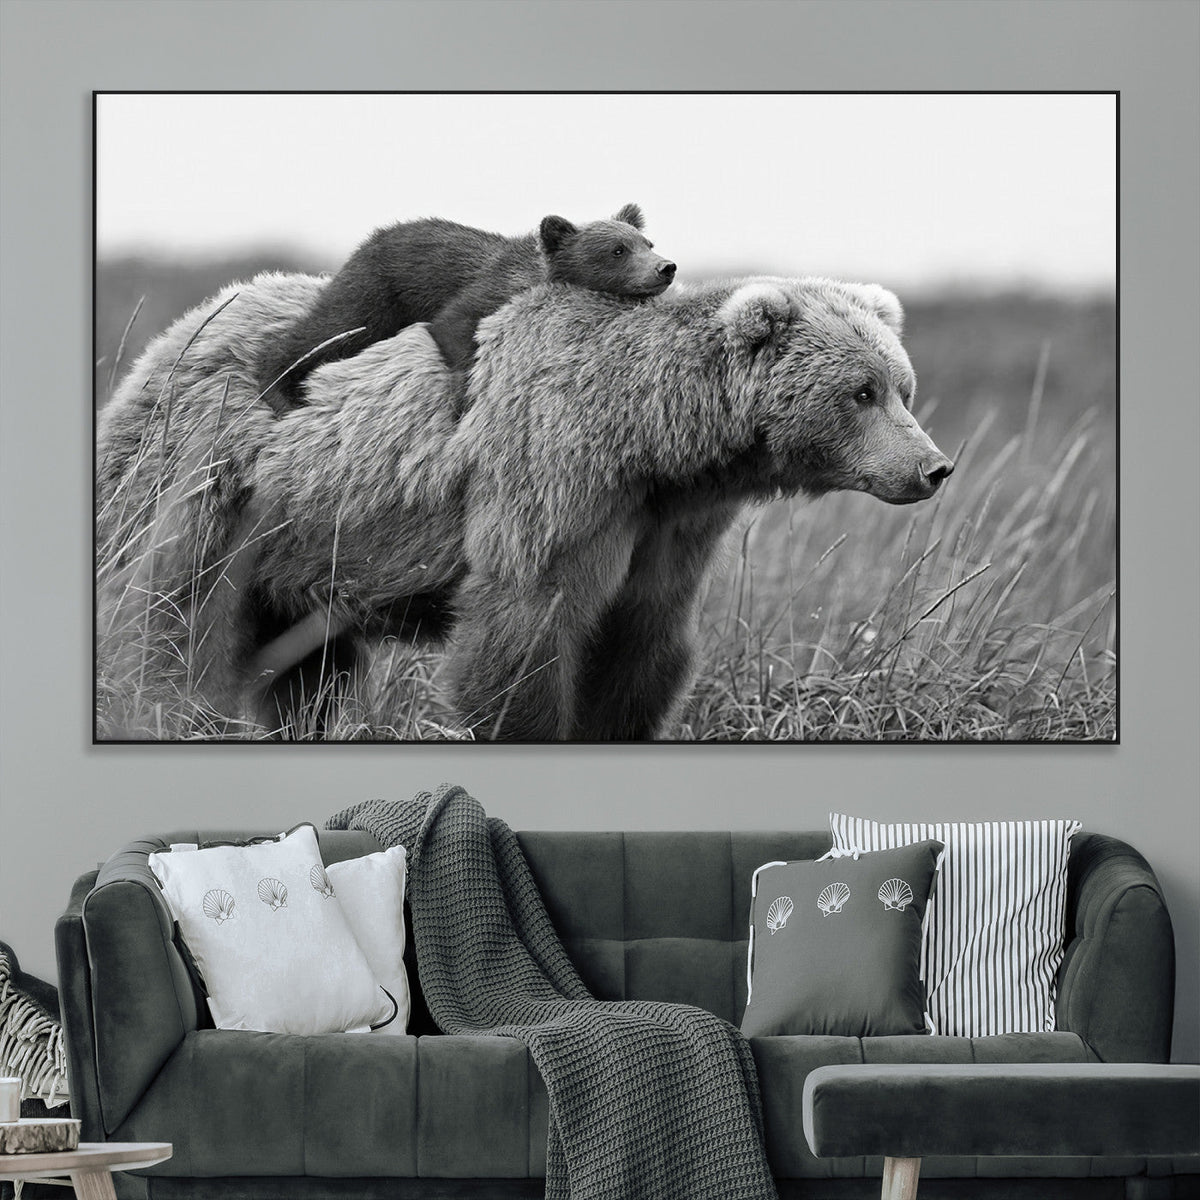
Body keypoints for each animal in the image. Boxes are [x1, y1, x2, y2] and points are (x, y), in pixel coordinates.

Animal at [95, 271, 953, 741]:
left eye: (902, 387)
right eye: (862, 392)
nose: (933, 466)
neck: (652, 441)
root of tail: (170, 337)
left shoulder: (667, 528)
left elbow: (641, 646)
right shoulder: (553, 479)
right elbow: (522, 633)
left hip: (303, 550)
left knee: (307, 672)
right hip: (212, 488)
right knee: (171, 623)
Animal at [258, 203, 676, 413]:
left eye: (647, 242)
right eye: (617, 250)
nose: (665, 268)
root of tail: (371, 237)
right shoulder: (486, 290)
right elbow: (454, 325)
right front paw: (464, 398)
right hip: (376, 292)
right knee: (328, 331)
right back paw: (279, 389)